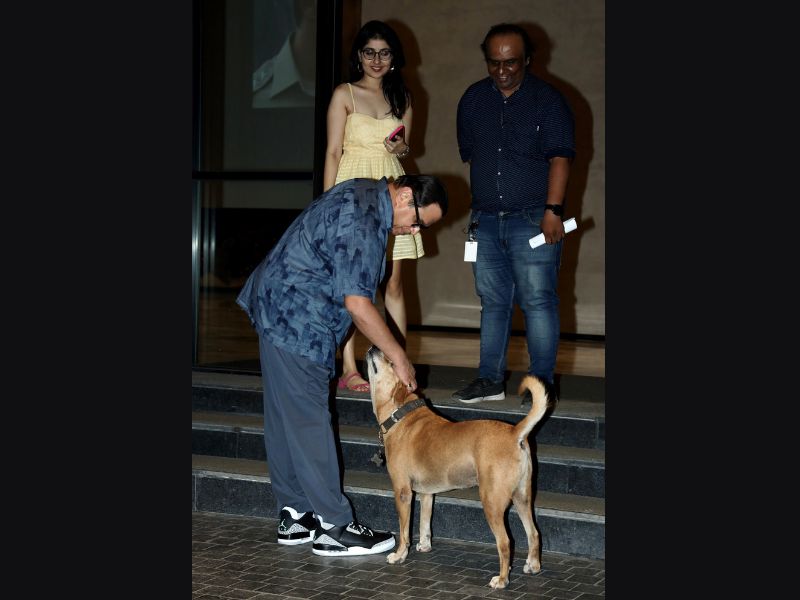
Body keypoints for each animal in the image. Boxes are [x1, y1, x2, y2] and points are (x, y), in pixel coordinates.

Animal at [365, 345, 552, 589]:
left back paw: (501, 579)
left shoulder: (403, 492)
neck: (401, 416)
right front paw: (424, 546)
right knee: (534, 534)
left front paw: (399, 555)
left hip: (492, 501)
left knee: (505, 542)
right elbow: (425, 523)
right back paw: (533, 565)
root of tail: (514, 433)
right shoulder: (427, 493)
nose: (374, 346)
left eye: (390, 361)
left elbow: (404, 530)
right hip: (523, 497)